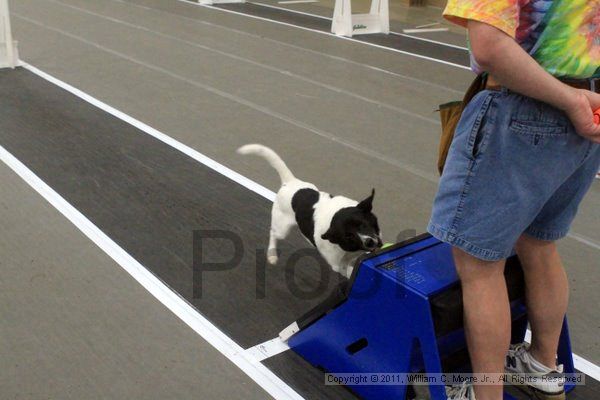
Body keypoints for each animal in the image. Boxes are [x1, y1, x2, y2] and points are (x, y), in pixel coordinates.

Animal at [237, 144, 382, 278]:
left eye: (362, 224)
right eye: (348, 236)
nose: (369, 242)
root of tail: (290, 181)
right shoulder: (337, 265)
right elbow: (346, 272)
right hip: (282, 229)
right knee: (273, 233)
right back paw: (272, 254)